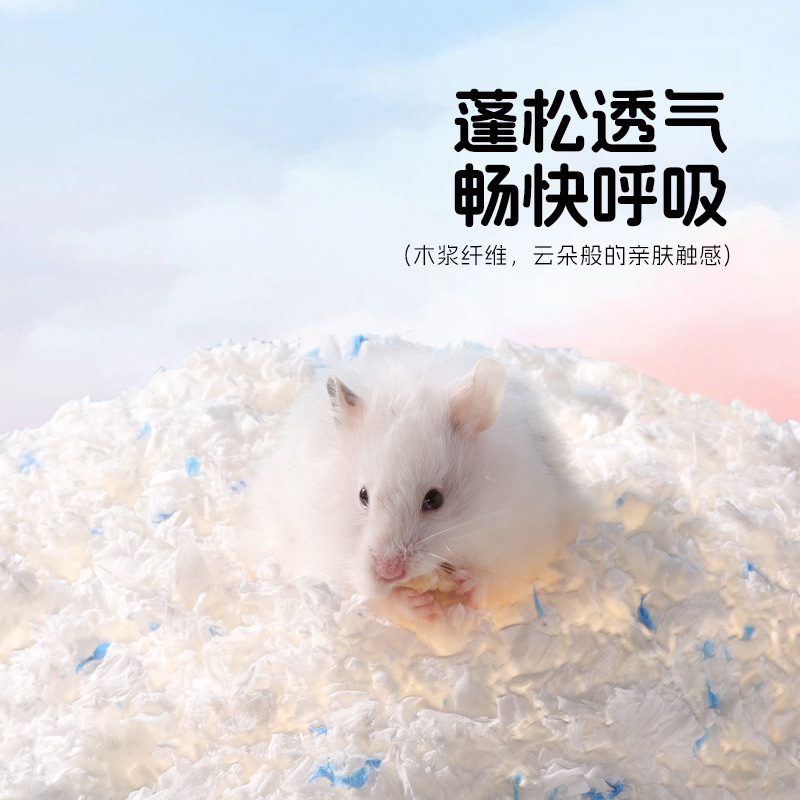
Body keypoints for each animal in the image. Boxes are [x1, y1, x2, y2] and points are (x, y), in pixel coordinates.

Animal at [240, 342, 583, 620]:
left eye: (434, 500)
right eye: (363, 495)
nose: (388, 571)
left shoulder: (526, 538)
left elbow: (497, 576)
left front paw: (466, 587)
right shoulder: (327, 555)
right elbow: (369, 593)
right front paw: (418, 606)